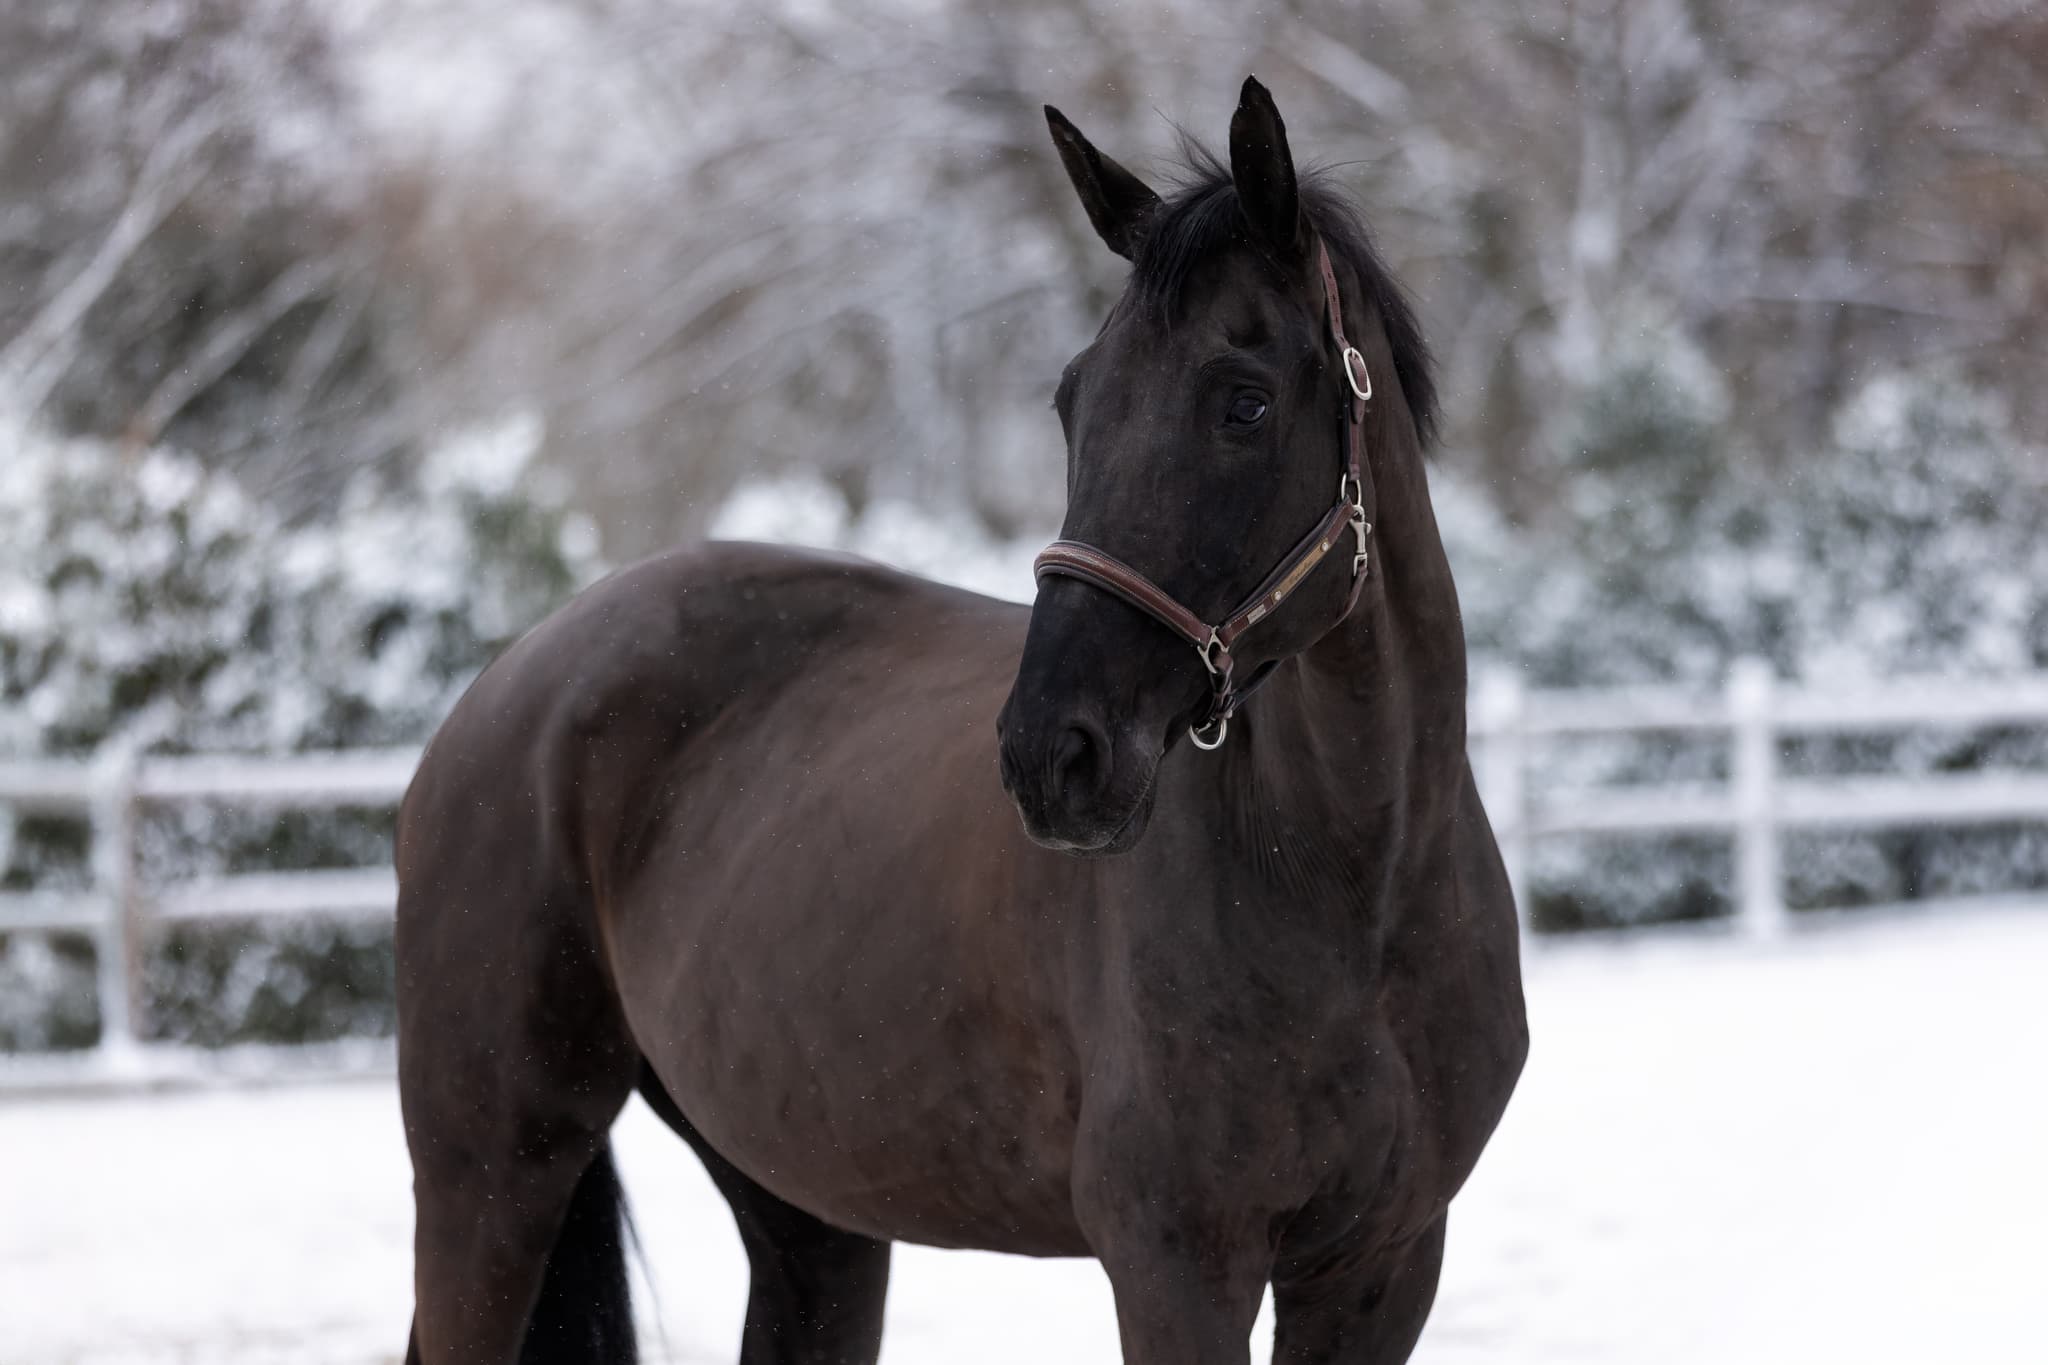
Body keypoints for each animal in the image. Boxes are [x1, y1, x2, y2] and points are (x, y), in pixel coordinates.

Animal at [396, 76, 1526, 1365]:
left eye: (1241, 403)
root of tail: (506, 687)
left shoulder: (1383, 1269)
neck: (1356, 885)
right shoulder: (1178, 1266)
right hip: (494, 1172)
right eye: (1072, 400)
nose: (1050, 754)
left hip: (804, 1213)